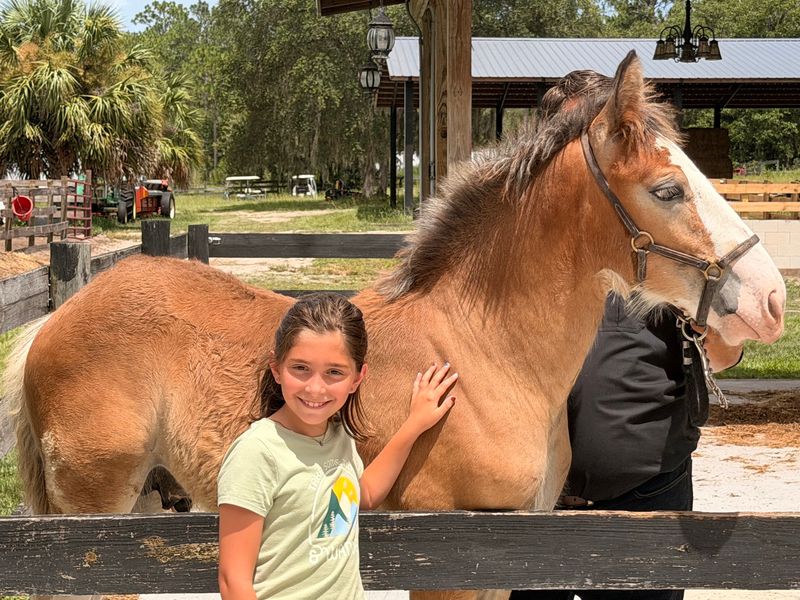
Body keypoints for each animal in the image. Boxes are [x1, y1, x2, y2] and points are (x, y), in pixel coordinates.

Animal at [2, 53, 785, 600]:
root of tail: (55, 321)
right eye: (668, 188)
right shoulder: (452, 563)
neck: (480, 351)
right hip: (94, 517)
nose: (770, 299)